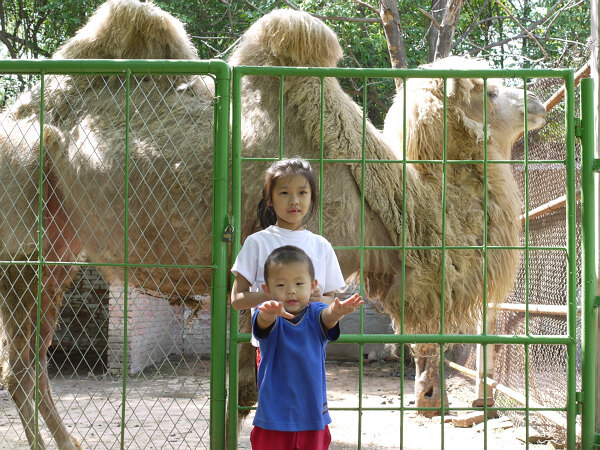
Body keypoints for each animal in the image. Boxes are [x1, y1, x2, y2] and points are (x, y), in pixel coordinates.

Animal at [0, 1, 548, 448]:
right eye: (491, 90)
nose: (540, 101)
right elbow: (245, 389)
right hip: (22, 226)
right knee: (20, 367)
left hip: (61, 246)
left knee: (33, 360)